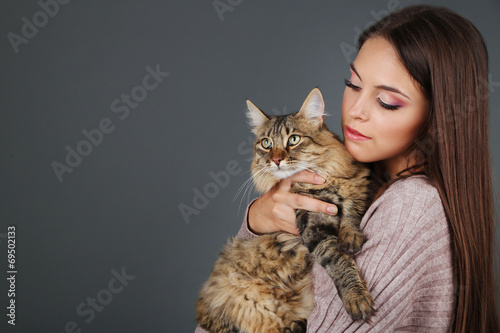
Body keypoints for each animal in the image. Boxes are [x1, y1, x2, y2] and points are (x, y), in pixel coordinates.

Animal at [195, 88, 376, 332]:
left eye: (294, 139)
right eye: (266, 143)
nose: (276, 160)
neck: (325, 178)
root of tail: (203, 308)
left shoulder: (357, 185)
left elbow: (351, 213)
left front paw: (350, 236)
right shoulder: (313, 225)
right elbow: (339, 261)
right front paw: (356, 297)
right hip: (252, 305)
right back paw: (294, 324)